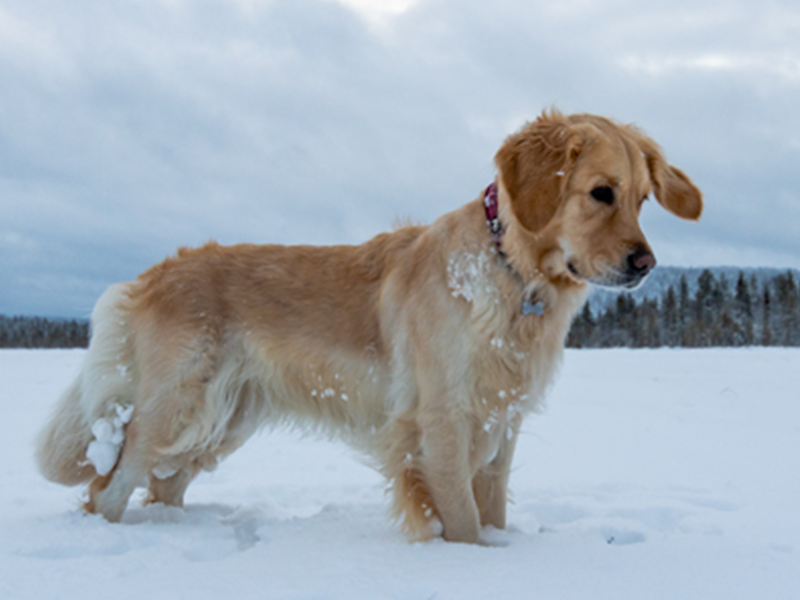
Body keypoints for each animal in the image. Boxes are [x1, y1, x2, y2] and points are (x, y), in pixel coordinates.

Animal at [36, 111, 700, 544]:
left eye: (643, 199)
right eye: (600, 192)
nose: (645, 264)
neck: (513, 277)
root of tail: (149, 275)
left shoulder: (501, 419)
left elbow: (491, 511)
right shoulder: (440, 420)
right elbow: (462, 520)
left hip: (223, 420)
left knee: (164, 485)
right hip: (175, 406)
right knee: (109, 486)